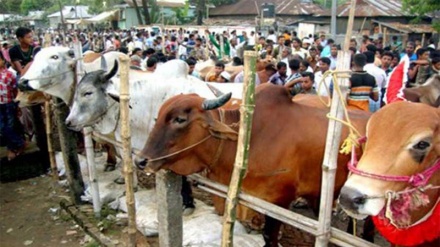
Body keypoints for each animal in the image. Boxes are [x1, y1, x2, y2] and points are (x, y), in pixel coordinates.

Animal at [138, 84, 372, 246]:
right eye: (158, 116)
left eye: (179, 119)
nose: (141, 160)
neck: (247, 138)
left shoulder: (279, 201)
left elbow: (269, 235)